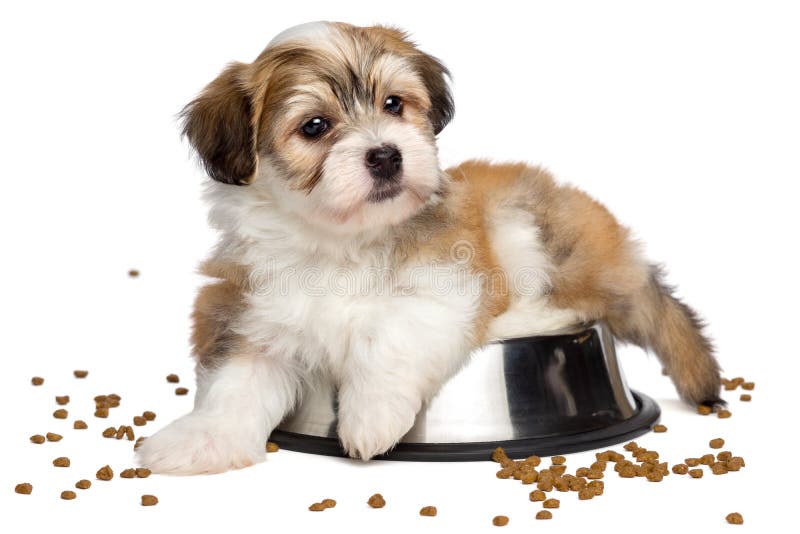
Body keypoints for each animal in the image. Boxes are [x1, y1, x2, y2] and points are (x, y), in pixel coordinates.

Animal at [138, 21, 724, 476]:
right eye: (315, 126)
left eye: (394, 104)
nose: (386, 154)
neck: (340, 241)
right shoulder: (252, 312)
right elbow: (235, 380)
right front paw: (200, 439)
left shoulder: (448, 281)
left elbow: (392, 330)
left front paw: (369, 416)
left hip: (524, 222)